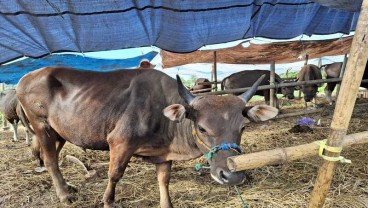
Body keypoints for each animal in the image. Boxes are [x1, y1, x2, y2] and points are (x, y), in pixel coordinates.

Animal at [15, 67, 278, 208]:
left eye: (243, 127)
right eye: (202, 128)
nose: (232, 175)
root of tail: (27, 77)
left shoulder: (163, 155)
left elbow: (163, 180)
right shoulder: (120, 142)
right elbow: (115, 174)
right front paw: (108, 201)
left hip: (59, 133)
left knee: (52, 159)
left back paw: (67, 186)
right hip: (42, 127)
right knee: (50, 161)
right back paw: (64, 195)